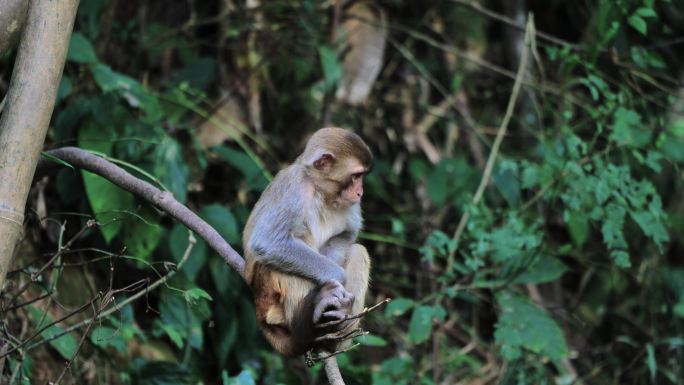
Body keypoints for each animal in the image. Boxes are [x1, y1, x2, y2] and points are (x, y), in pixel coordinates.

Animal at [242, 127, 372, 356]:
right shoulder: (295, 187)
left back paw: (336, 329)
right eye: (356, 176)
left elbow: (343, 238)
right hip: (268, 296)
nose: (360, 192)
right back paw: (309, 321)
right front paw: (338, 279)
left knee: (357, 250)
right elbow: (267, 242)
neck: (321, 190)